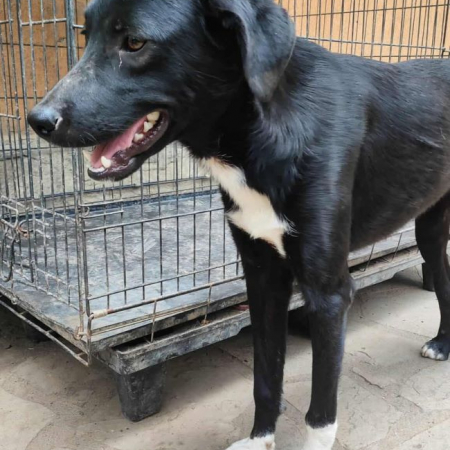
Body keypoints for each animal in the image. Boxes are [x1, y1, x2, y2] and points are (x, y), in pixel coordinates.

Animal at [27, 0, 450, 449]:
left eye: (136, 42)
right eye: (86, 36)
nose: (37, 120)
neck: (263, 131)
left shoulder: (329, 293)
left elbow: (320, 413)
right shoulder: (261, 274)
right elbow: (264, 378)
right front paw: (260, 437)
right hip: (429, 230)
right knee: (442, 277)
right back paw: (443, 343)